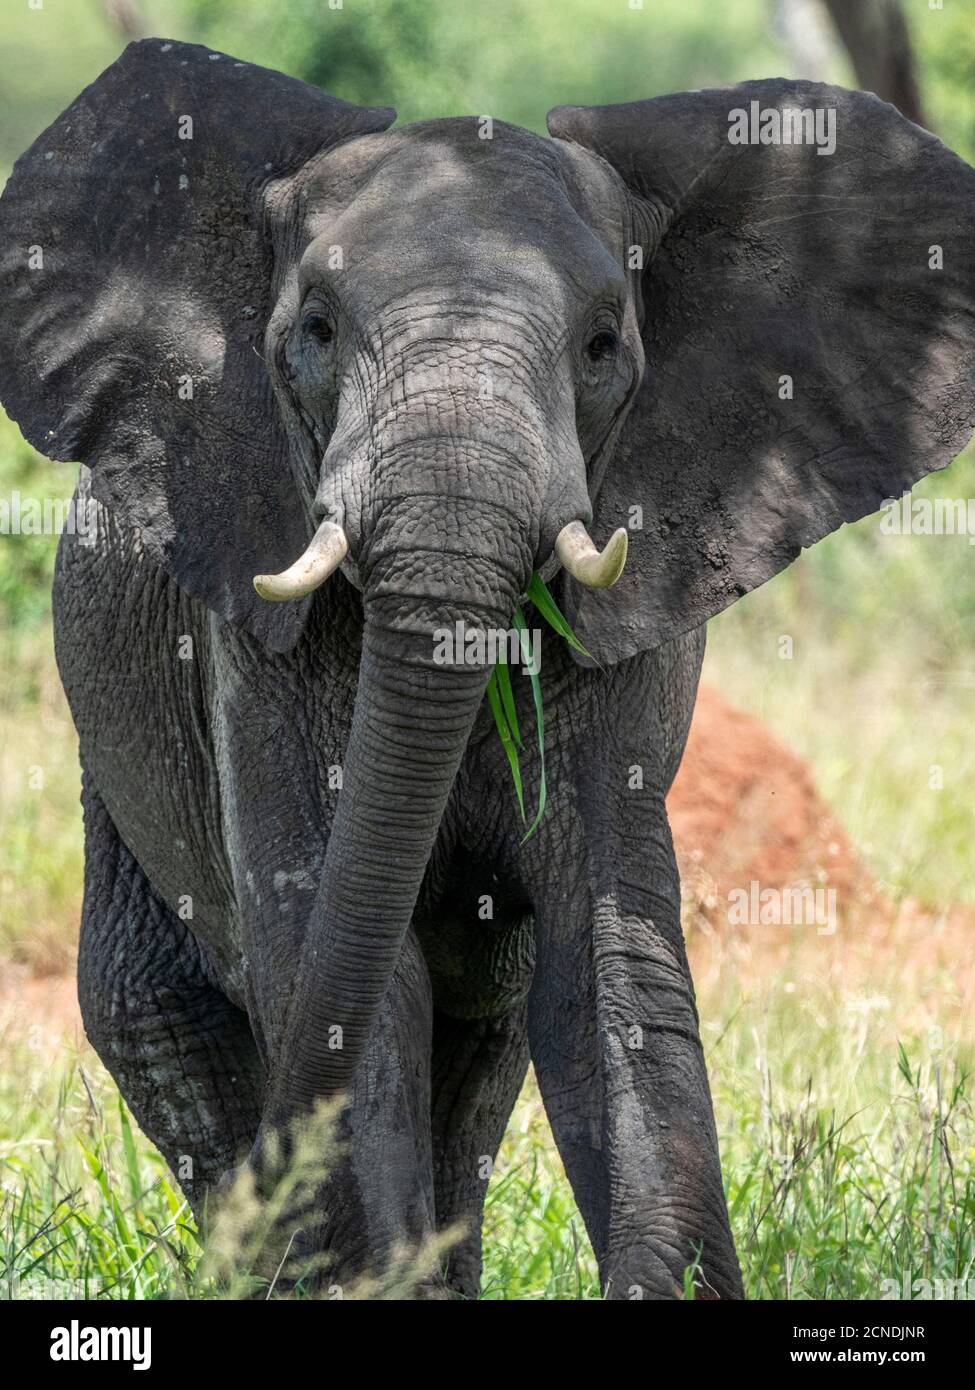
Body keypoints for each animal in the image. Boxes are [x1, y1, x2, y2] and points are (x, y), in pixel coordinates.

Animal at [1, 40, 973, 1301]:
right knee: (158, 1007)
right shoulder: (252, 643)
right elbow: (351, 972)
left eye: (603, 346)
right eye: (316, 329)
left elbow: (603, 969)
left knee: (484, 1038)